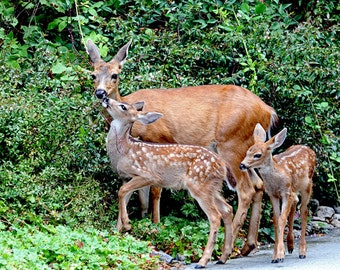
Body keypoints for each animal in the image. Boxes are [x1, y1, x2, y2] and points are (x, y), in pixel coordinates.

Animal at [102, 97, 235, 268]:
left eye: (123, 106)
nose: (105, 97)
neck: (124, 151)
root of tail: (222, 163)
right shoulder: (126, 177)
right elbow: (123, 197)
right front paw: (118, 231)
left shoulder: (147, 175)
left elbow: (121, 191)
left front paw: (127, 224)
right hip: (212, 187)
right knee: (227, 209)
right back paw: (223, 257)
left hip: (199, 185)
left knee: (215, 216)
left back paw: (203, 261)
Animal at [239, 123, 316, 262]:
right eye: (247, 152)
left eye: (257, 155)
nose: (242, 165)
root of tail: (309, 149)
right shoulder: (272, 194)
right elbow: (276, 220)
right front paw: (275, 255)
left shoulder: (286, 192)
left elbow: (282, 219)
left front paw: (280, 255)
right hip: (294, 190)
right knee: (295, 204)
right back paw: (290, 245)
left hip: (307, 185)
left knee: (304, 211)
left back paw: (302, 251)